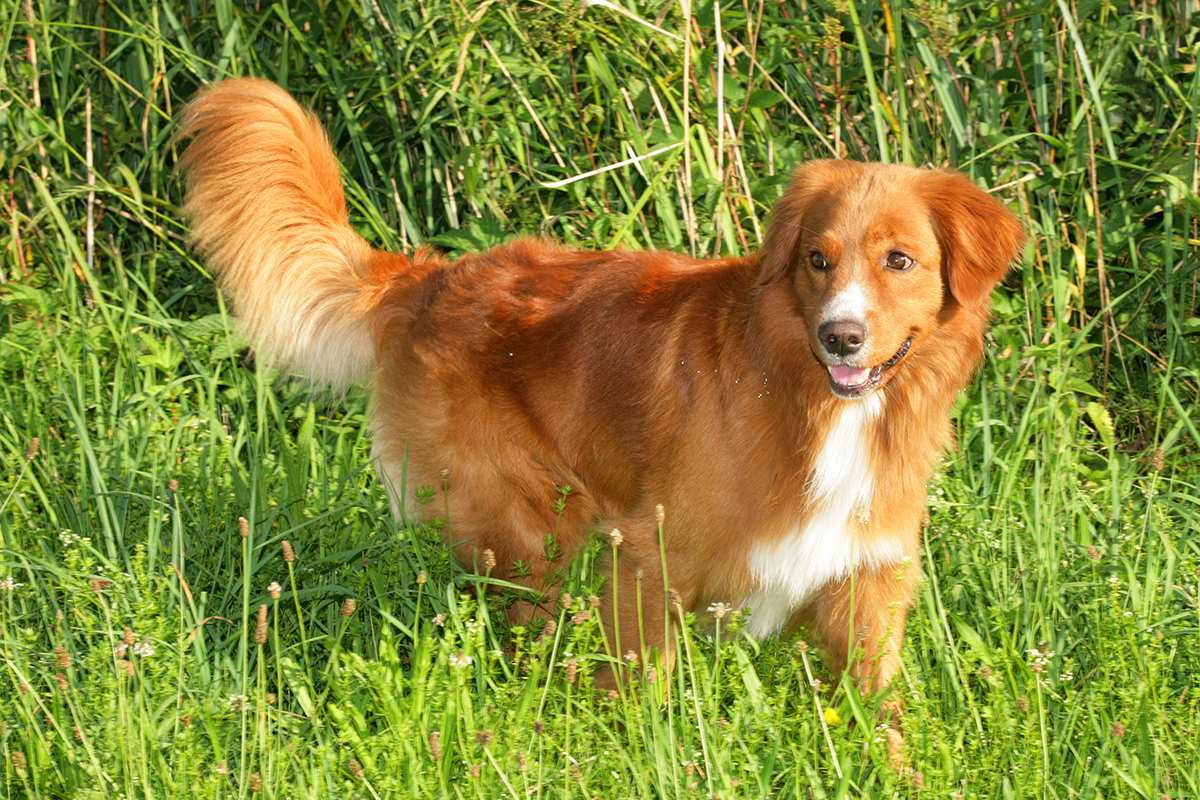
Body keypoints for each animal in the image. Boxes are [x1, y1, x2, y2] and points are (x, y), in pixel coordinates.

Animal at [177, 77, 1022, 705]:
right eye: (818, 259)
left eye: (900, 261)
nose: (840, 336)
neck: (810, 403)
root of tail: (432, 277)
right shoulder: (649, 554)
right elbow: (643, 689)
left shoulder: (866, 575)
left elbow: (880, 713)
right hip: (527, 528)